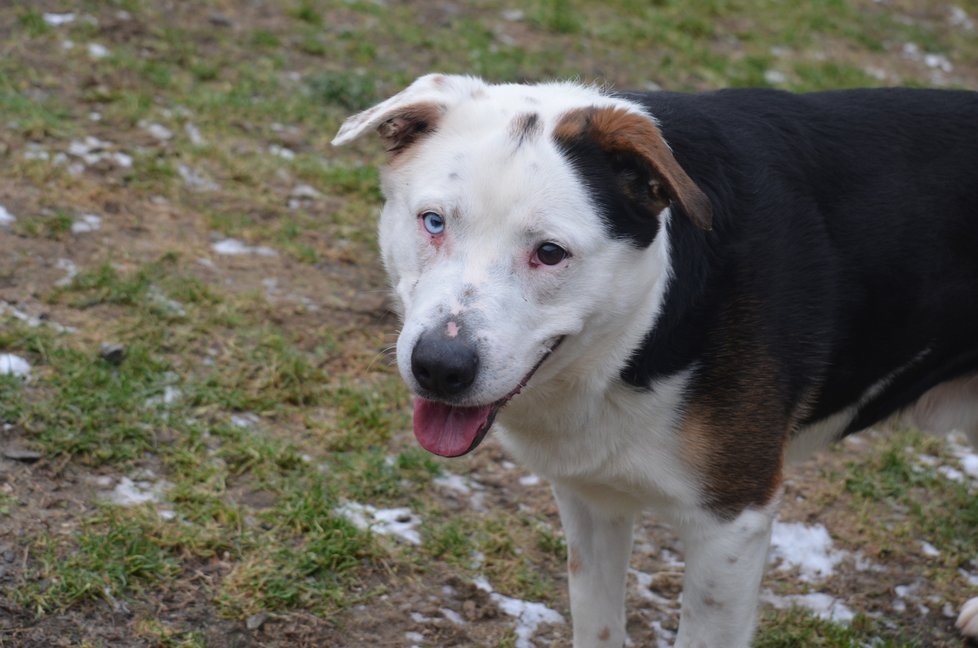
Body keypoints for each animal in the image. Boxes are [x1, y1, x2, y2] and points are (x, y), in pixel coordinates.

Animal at [332, 77, 972, 648]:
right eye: (434, 222)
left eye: (550, 253)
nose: (440, 367)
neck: (637, 334)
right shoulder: (590, 498)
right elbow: (597, 625)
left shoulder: (732, 523)